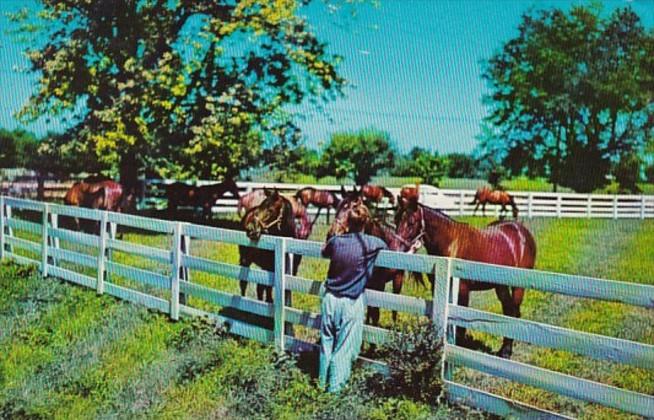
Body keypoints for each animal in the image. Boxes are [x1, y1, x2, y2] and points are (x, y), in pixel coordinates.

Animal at [398, 200, 536, 358]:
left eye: (411, 222)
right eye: (397, 219)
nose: (398, 248)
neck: (451, 243)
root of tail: (522, 232)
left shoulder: (462, 291)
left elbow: (460, 324)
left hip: (518, 287)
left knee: (513, 314)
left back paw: (506, 352)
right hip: (501, 286)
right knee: (508, 311)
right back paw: (503, 350)